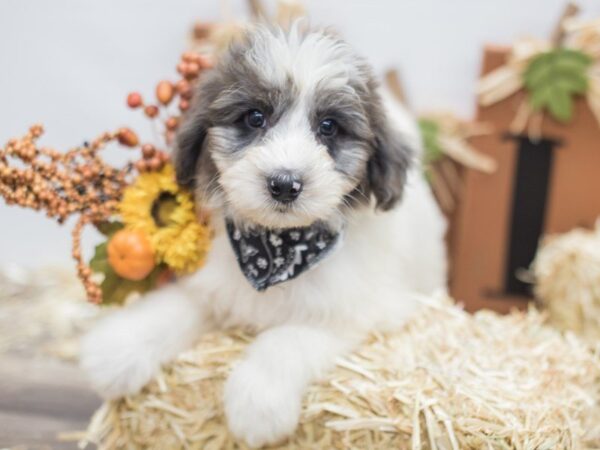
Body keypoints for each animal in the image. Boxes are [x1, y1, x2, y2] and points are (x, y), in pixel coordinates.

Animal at [79, 23, 446, 446]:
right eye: (255, 118)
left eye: (329, 127)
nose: (284, 184)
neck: (276, 249)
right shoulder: (220, 283)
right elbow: (179, 304)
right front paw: (117, 347)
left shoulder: (360, 311)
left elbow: (287, 339)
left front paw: (257, 401)